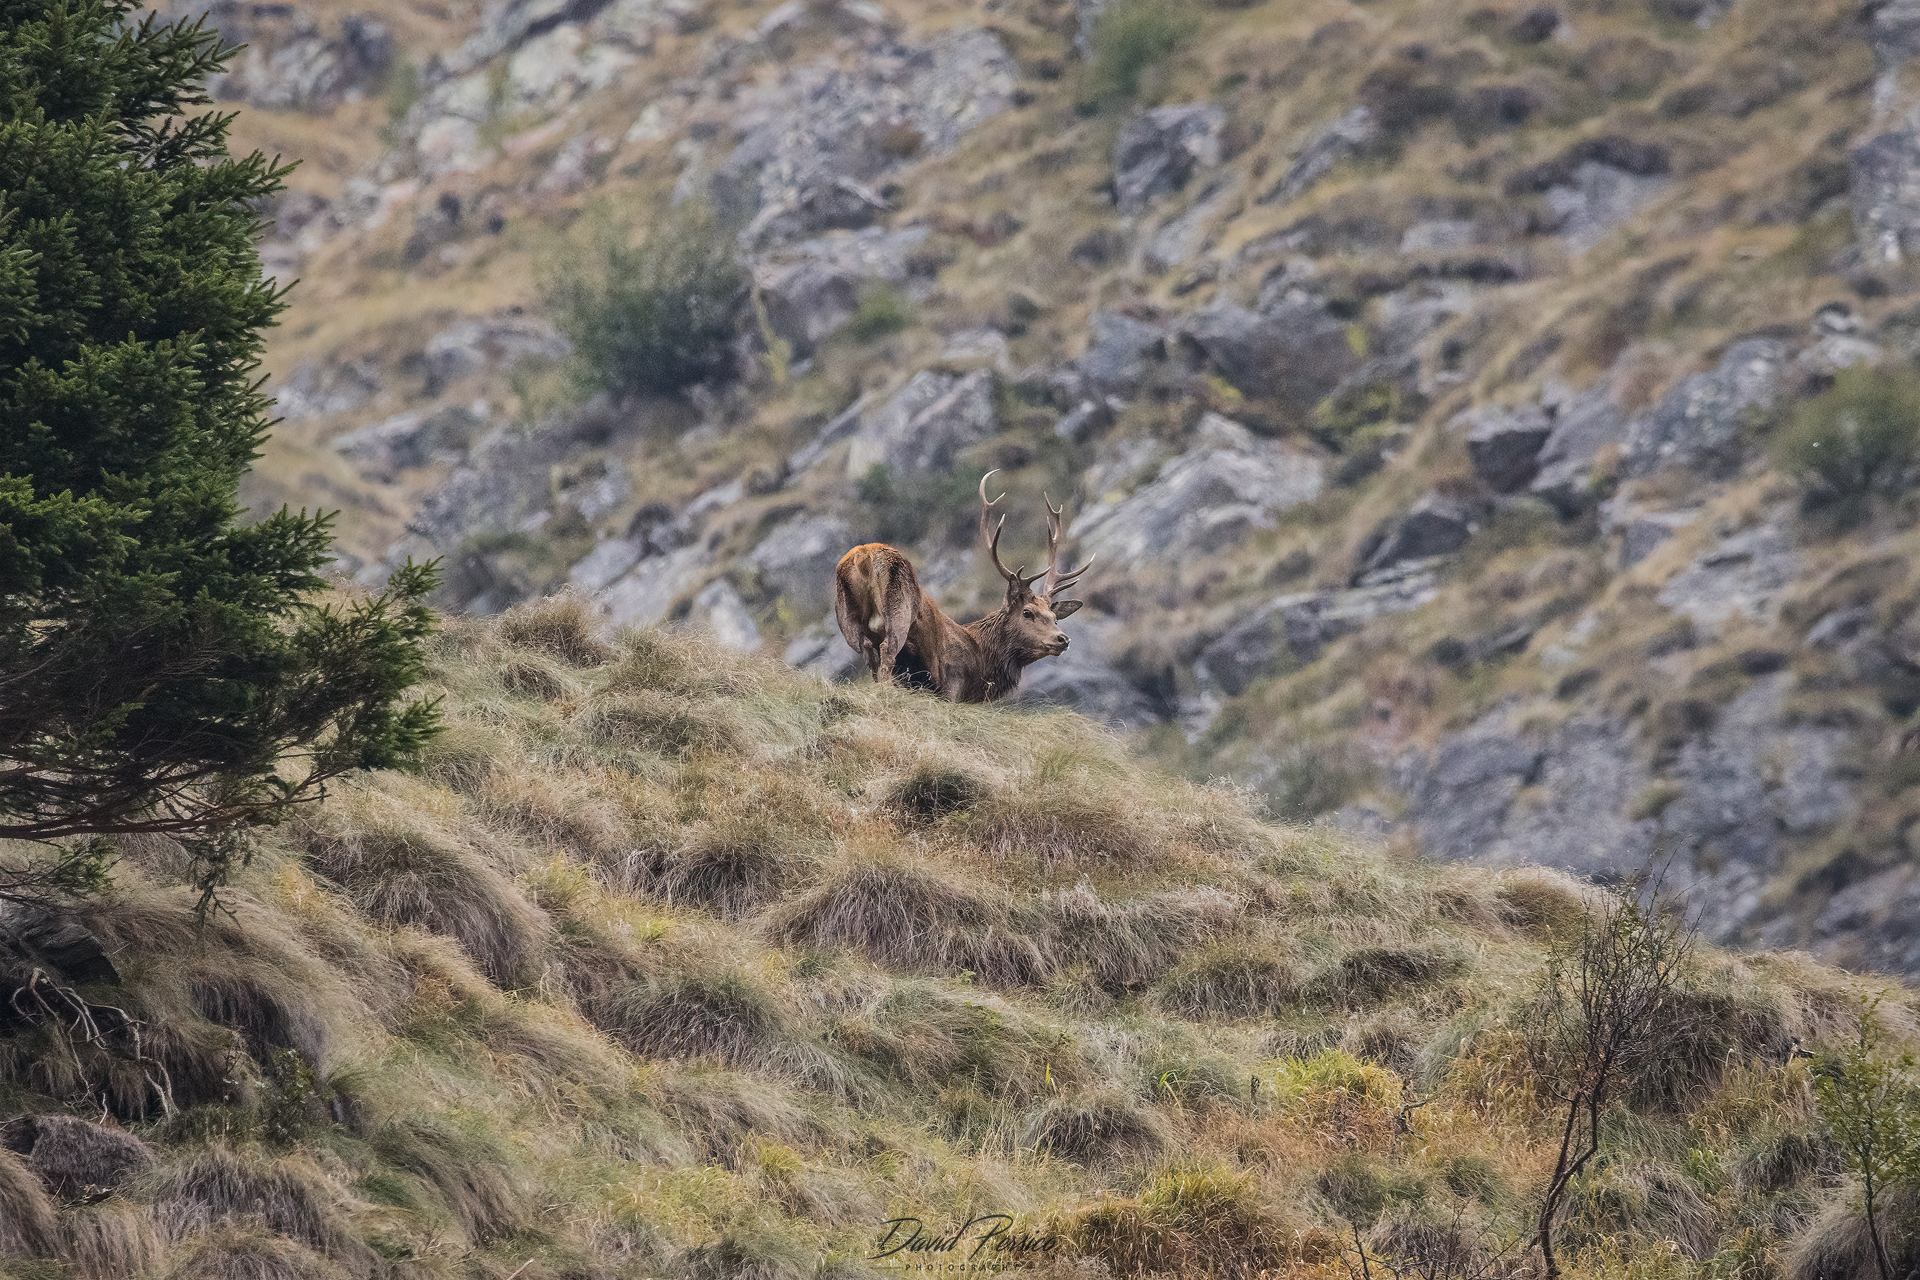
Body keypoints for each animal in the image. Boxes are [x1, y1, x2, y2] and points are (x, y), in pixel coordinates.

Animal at [832, 472, 1093, 703]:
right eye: (1027, 612)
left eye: (1054, 617)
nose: (1062, 639)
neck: (979, 662)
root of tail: (864, 557)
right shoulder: (951, 686)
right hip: (899, 611)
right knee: (887, 651)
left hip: (848, 619)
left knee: (868, 654)